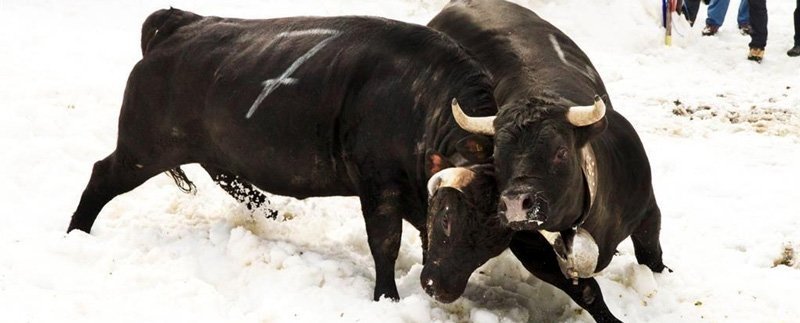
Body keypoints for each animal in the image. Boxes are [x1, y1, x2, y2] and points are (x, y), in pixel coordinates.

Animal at [67, 6, 500, 302]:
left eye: (495, 241)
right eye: (448, 218)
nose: (439, 288)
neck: (423, 98)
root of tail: (182, 22)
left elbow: (420, 237)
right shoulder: (379, 184)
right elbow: (385, 241)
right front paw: (386, 297)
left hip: (209, 151)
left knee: (234, 182)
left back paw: (277, 217)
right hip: (143, 148)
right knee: (101, 176)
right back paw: (76, 233)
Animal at [424, 0, 668, 322]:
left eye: (560, 152)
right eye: (496, 155)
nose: (516, 203)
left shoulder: (648, 212)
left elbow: (652, 257)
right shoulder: (527, 243)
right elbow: (585, 289)